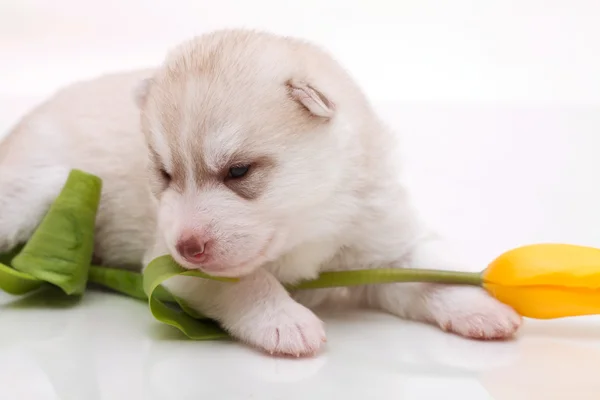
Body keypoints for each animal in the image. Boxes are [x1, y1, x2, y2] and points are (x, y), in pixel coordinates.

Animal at [0, 30, 520, 356]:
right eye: (165, 174)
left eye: (238, 170)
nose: (187, 246)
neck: (311, 225)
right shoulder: (166, 265)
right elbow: (247, 282)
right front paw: (284, 320)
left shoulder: (380, 241)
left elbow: (426, 274)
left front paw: (479, 306)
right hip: (39, 190)